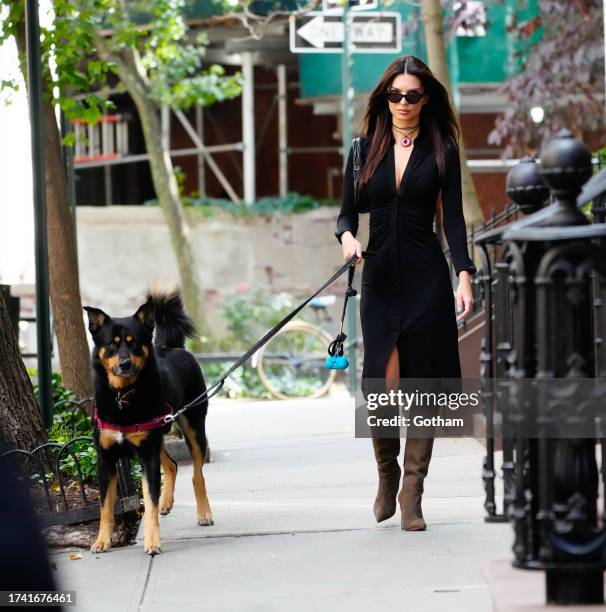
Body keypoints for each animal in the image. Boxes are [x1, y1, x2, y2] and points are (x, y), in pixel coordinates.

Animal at [84, 286, 214, 556]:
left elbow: (150, 503)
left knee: (197, 474)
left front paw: (152, 542)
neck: (123, 397)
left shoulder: (146, 455)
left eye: (134, 343)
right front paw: (102, 541)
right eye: (111, 345)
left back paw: (204, 513)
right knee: (172, 465)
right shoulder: (106, 459)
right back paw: (167, 502)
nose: (125, 364)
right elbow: (105, 506)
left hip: (193, 428)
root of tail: (171, 346)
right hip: (157, 434)